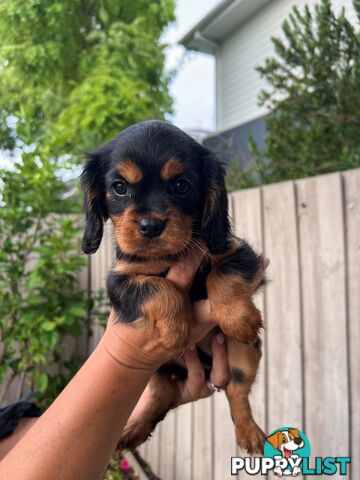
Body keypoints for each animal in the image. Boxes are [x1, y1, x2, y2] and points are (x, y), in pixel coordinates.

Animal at [81, 119, 268, 454]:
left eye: (182, 185)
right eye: (119, 187)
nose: (151, 225)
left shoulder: (240, 253)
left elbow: (221, 274)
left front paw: (239, 319)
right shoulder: (120, 279)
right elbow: (157, 288)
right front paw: (178, 328)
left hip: (244, 353)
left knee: (237, 391)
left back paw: (249, 432)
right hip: (154, 370)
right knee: (160, 394)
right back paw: (133, 429)